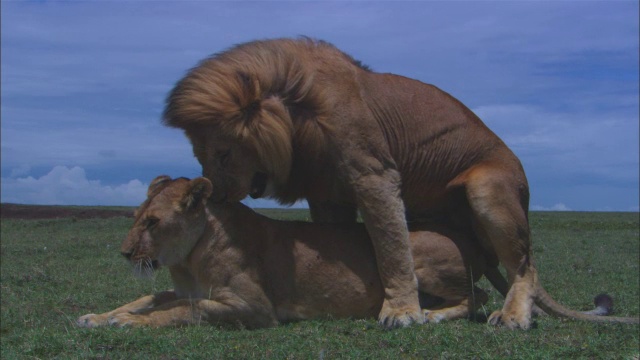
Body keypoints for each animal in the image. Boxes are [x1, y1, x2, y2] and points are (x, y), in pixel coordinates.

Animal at [77, 176, 636, 330]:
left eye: (152, 222)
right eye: (134, 216)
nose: (124, 253)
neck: (188, 256)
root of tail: (469, 238)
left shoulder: (254, 309)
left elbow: (185, 311)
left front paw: (125, 324)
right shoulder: (185, 285)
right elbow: (155, 300)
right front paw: (98, 315)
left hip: (421, 259)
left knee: (475, 300)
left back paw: (423, 316)